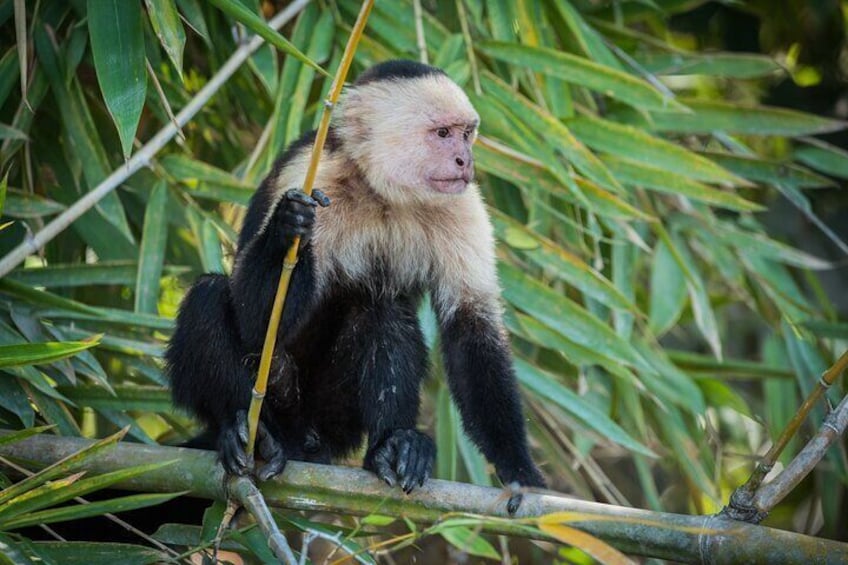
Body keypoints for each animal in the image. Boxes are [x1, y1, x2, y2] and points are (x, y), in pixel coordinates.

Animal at [166, 59, 548, 512]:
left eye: (466, 133)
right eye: (442, 133)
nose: (463, 160)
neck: (380, 188)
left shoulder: (463, 203)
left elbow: (471, 328)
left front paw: (518, 471)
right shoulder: (312, 173)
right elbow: (254, 322)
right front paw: (285, 228)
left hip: (335, 418)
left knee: (381, 307)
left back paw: (392, 447)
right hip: (284, 402)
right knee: (208, 297)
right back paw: (249, 436)